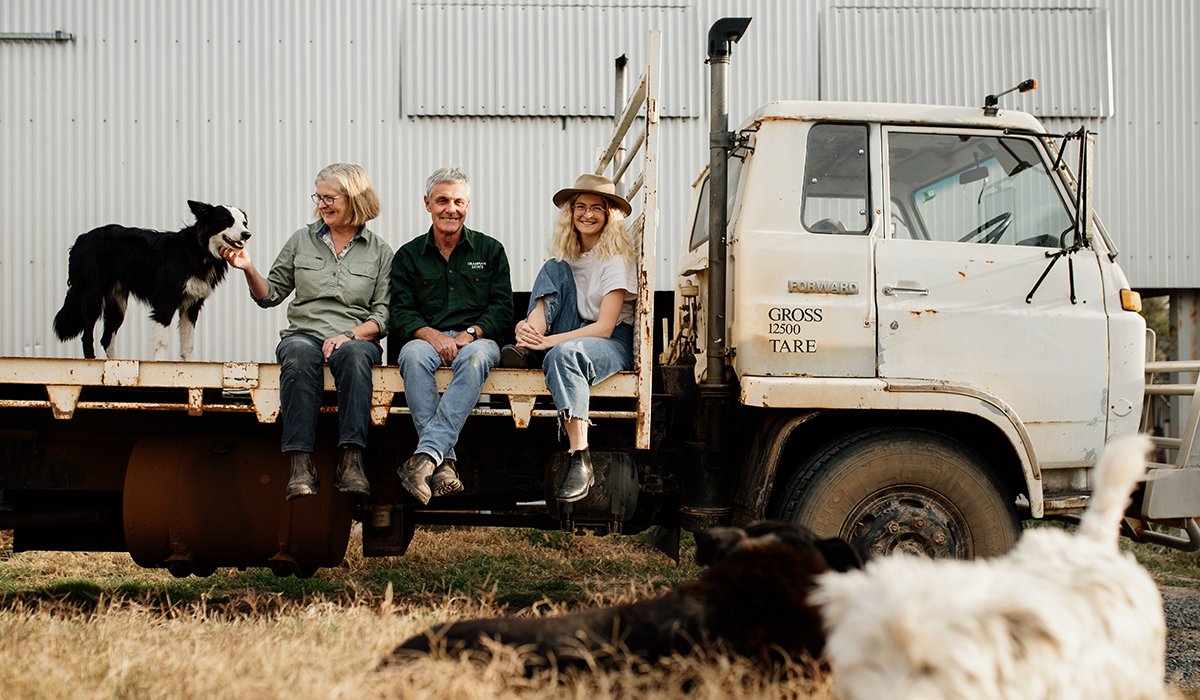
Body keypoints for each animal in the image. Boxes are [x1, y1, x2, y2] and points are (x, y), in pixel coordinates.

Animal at [52, 198, 249, 357]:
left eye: (244, 223)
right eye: (227, 221)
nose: (248, 234)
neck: (200, 250)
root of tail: (80, 240)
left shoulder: (191, 305)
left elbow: (187, 345)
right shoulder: (165, 300)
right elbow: (162, 342)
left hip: (117, 303)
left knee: (106, 339)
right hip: (92, 295)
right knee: (87, 336)